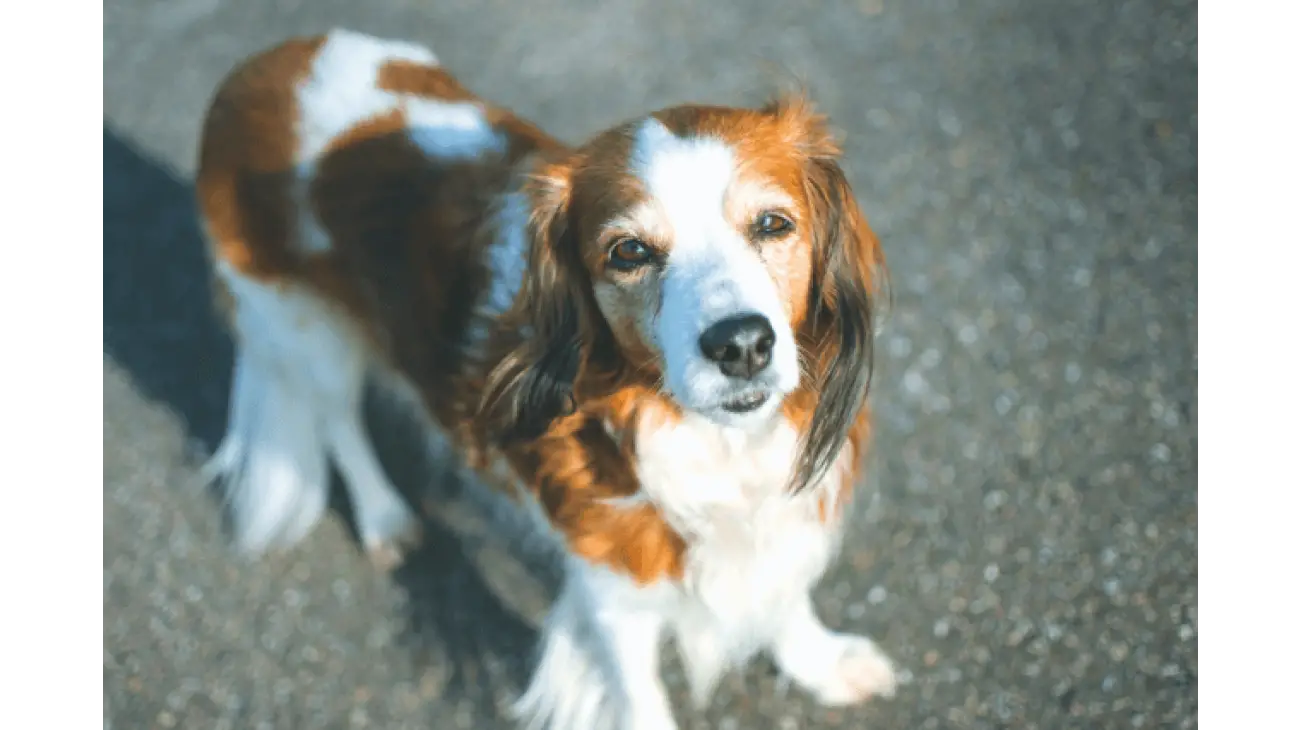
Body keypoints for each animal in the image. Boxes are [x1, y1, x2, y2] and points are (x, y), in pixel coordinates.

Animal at [197, 29, 899, 730]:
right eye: (629, 252)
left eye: (774, 224)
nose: (743, 344)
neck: (711, 443)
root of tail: (266, 63)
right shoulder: (611, 578)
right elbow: (640, 694)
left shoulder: (778, 518)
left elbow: (783, 594)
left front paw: (821, 663)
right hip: (304, 328)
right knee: (338, 422)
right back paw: (384, 517)